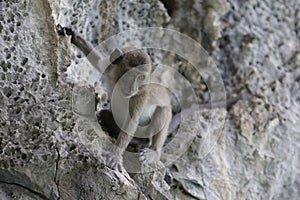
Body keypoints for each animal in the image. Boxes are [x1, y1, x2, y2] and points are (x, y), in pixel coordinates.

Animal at [57, 24, 172, 170]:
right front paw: (74, 34)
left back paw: (152, 152)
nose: (133, 87)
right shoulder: (110, 66)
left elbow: (131, 121)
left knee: (162, 111)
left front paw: (115, 154)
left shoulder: (141, 95)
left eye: (141, 78)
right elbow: (97, 61)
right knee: (104, 114)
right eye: (130, 75)